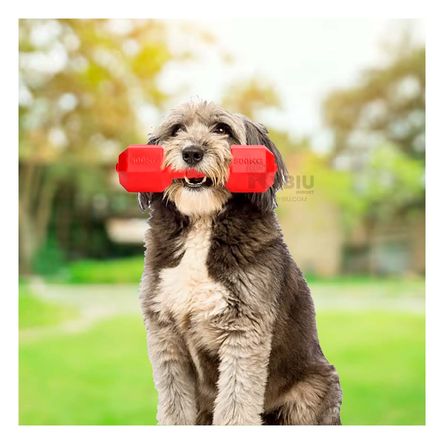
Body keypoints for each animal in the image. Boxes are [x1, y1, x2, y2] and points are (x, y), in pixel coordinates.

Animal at [139, 99, 344, 424]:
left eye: (222, 129)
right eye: (176, 129)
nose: (192, 152)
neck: (203, 222)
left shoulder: (244, 330)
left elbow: (236, 404)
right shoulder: (165, 333)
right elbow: (174, 406)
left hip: (312, 392)